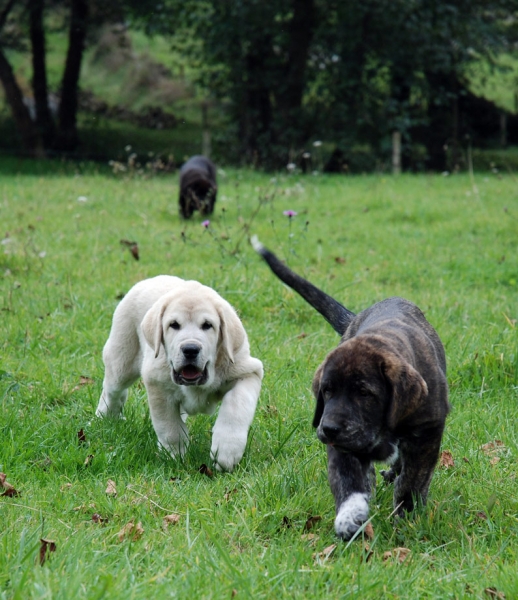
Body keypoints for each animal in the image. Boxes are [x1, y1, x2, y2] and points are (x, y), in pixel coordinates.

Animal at [97, 274, 264, 472]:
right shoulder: (158, 385)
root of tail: (152, 279)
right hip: (122, 358)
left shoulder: (248, 371)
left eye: (208, 325)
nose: (190, 349)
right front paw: (174, 456)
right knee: (112, 390)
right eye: (174, 325)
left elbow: (235, 407)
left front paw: (226, 451)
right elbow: (170, 427)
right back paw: (106, 417)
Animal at [253, 237, 450, 540]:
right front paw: (349, 517)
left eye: (364, 393)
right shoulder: (342, 443)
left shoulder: (427, 433)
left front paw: (405, 518)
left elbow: (412, 482)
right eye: (327, 391)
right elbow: (348, 482)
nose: (329, 428)